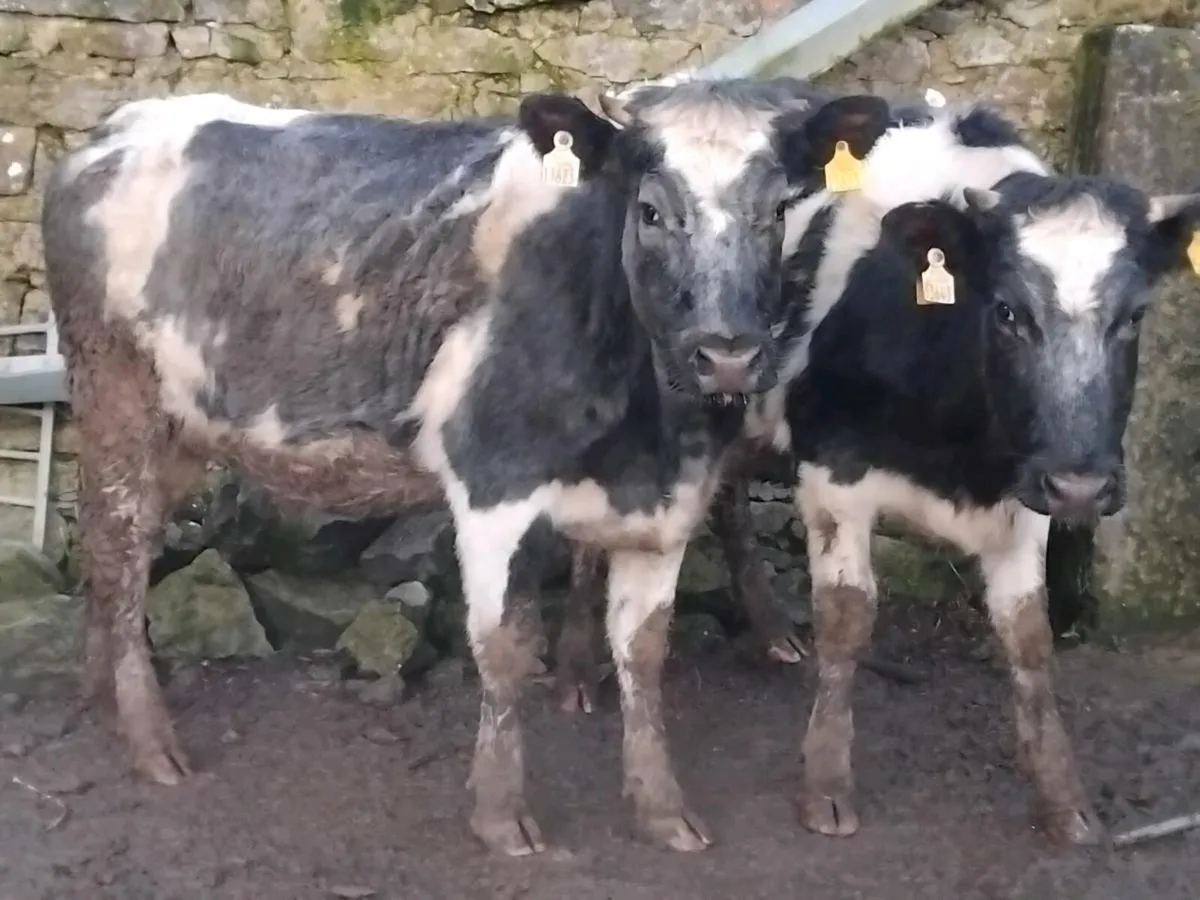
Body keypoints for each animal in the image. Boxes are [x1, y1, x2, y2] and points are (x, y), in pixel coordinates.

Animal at [42, 80, 855, 857]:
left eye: (778, 211)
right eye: (651, 210)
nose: (727, 353)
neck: (646, 427)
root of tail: (114, 129)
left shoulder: (666, 505)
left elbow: (644, 653)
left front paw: (662, 812)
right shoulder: (491, 481)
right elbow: (501, 650)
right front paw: (502, 817)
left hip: (180, 432)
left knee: (114, 550)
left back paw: (98, 691)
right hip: (116, 395)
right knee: (119, 551)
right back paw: (150, 740)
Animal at [553, 84, 1200, 847]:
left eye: (1133, 317)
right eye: (1008, 311)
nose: (1082, 484)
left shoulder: (1025, 491)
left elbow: (1030, 638)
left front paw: (1062, 798)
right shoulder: (835, 474)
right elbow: (847, 616)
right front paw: (827, 786)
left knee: (731, 499)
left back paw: (771, 630)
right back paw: (575, 669)